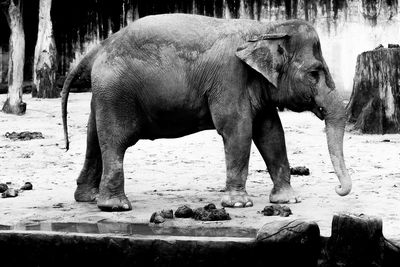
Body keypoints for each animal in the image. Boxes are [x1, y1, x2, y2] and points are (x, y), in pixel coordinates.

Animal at [61, 14, 352, 214]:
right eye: (315, 73)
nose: (338, 189)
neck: (265, 29)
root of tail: (99, 47)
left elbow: (271, 133)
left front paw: (288, 200)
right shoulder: (229, 78)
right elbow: (238, 129)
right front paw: (239, 204)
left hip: (103, 94)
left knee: (93, 139)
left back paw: (87, 198)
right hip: (116, 92)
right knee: (116, 141)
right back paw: (116, 206)